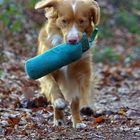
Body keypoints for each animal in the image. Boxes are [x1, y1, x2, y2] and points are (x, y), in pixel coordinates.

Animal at [34, 0, 100, 128]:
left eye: (81, 21)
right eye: (64, 21)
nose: (72, 40)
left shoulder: (82, 71)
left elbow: (83, 90)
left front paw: (85, 107)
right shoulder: (46, 70)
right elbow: (52, 85)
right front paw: (59, 101)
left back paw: (77, 121)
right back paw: (58, 118)